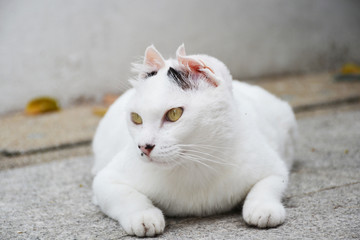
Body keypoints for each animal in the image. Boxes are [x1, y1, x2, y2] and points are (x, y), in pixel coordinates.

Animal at [91, 44, 296, 237]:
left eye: (174, 114)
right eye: (136, 118)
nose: (143, 147)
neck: (195, 164)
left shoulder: (273, 167)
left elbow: (267, 185)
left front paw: (263, 208)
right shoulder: (105, 180)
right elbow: (125, 196)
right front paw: (143, 216)